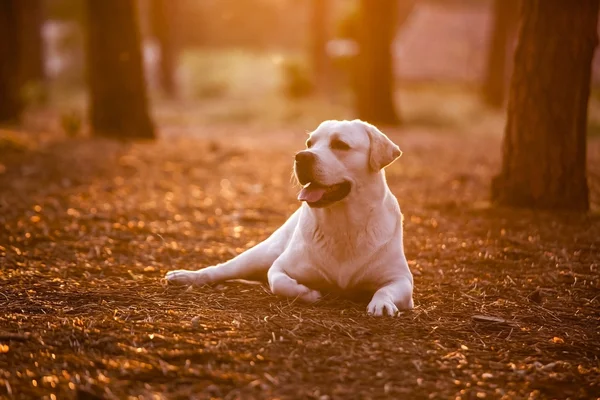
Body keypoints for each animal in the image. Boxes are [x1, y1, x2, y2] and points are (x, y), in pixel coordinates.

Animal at [166, 119, 414, 316]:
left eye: (340, 145)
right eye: (309, 144)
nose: (301, 157)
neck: (343, 224)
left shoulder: (402, 279)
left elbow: (385, 289)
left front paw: (381, 304)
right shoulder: (280, 267)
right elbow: (280, 283)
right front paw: (309, 293)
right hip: (259, 254)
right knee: (220, 270)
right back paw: (184, 276)